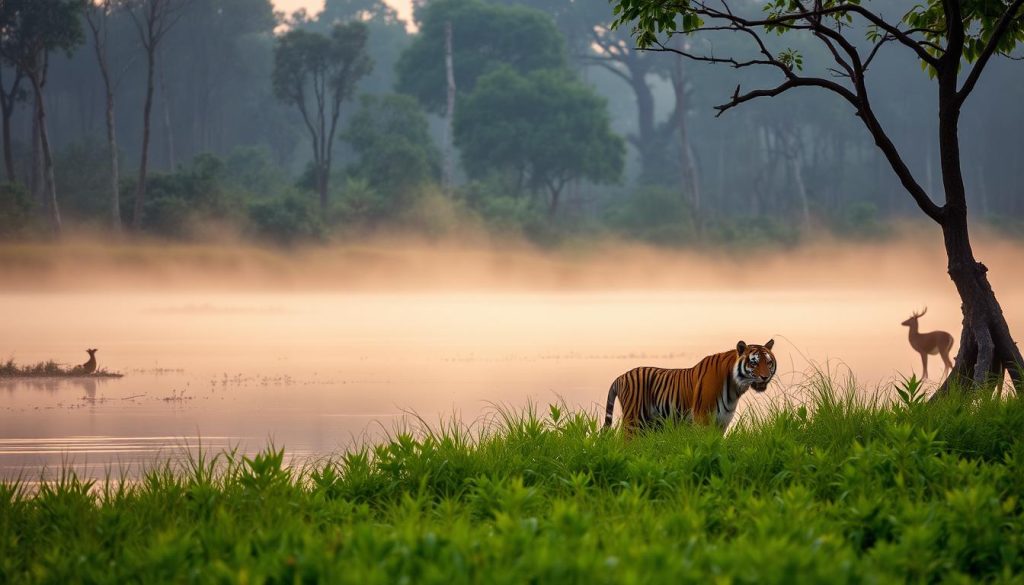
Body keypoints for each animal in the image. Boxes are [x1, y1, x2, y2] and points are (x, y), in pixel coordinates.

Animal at [604, 340, 776, 435]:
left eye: (768, 362)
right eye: (754, 363)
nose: (765, 377)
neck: (735, 389)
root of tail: (620, 377)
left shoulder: (722, 421)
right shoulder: (702, 418)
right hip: (633, 421)